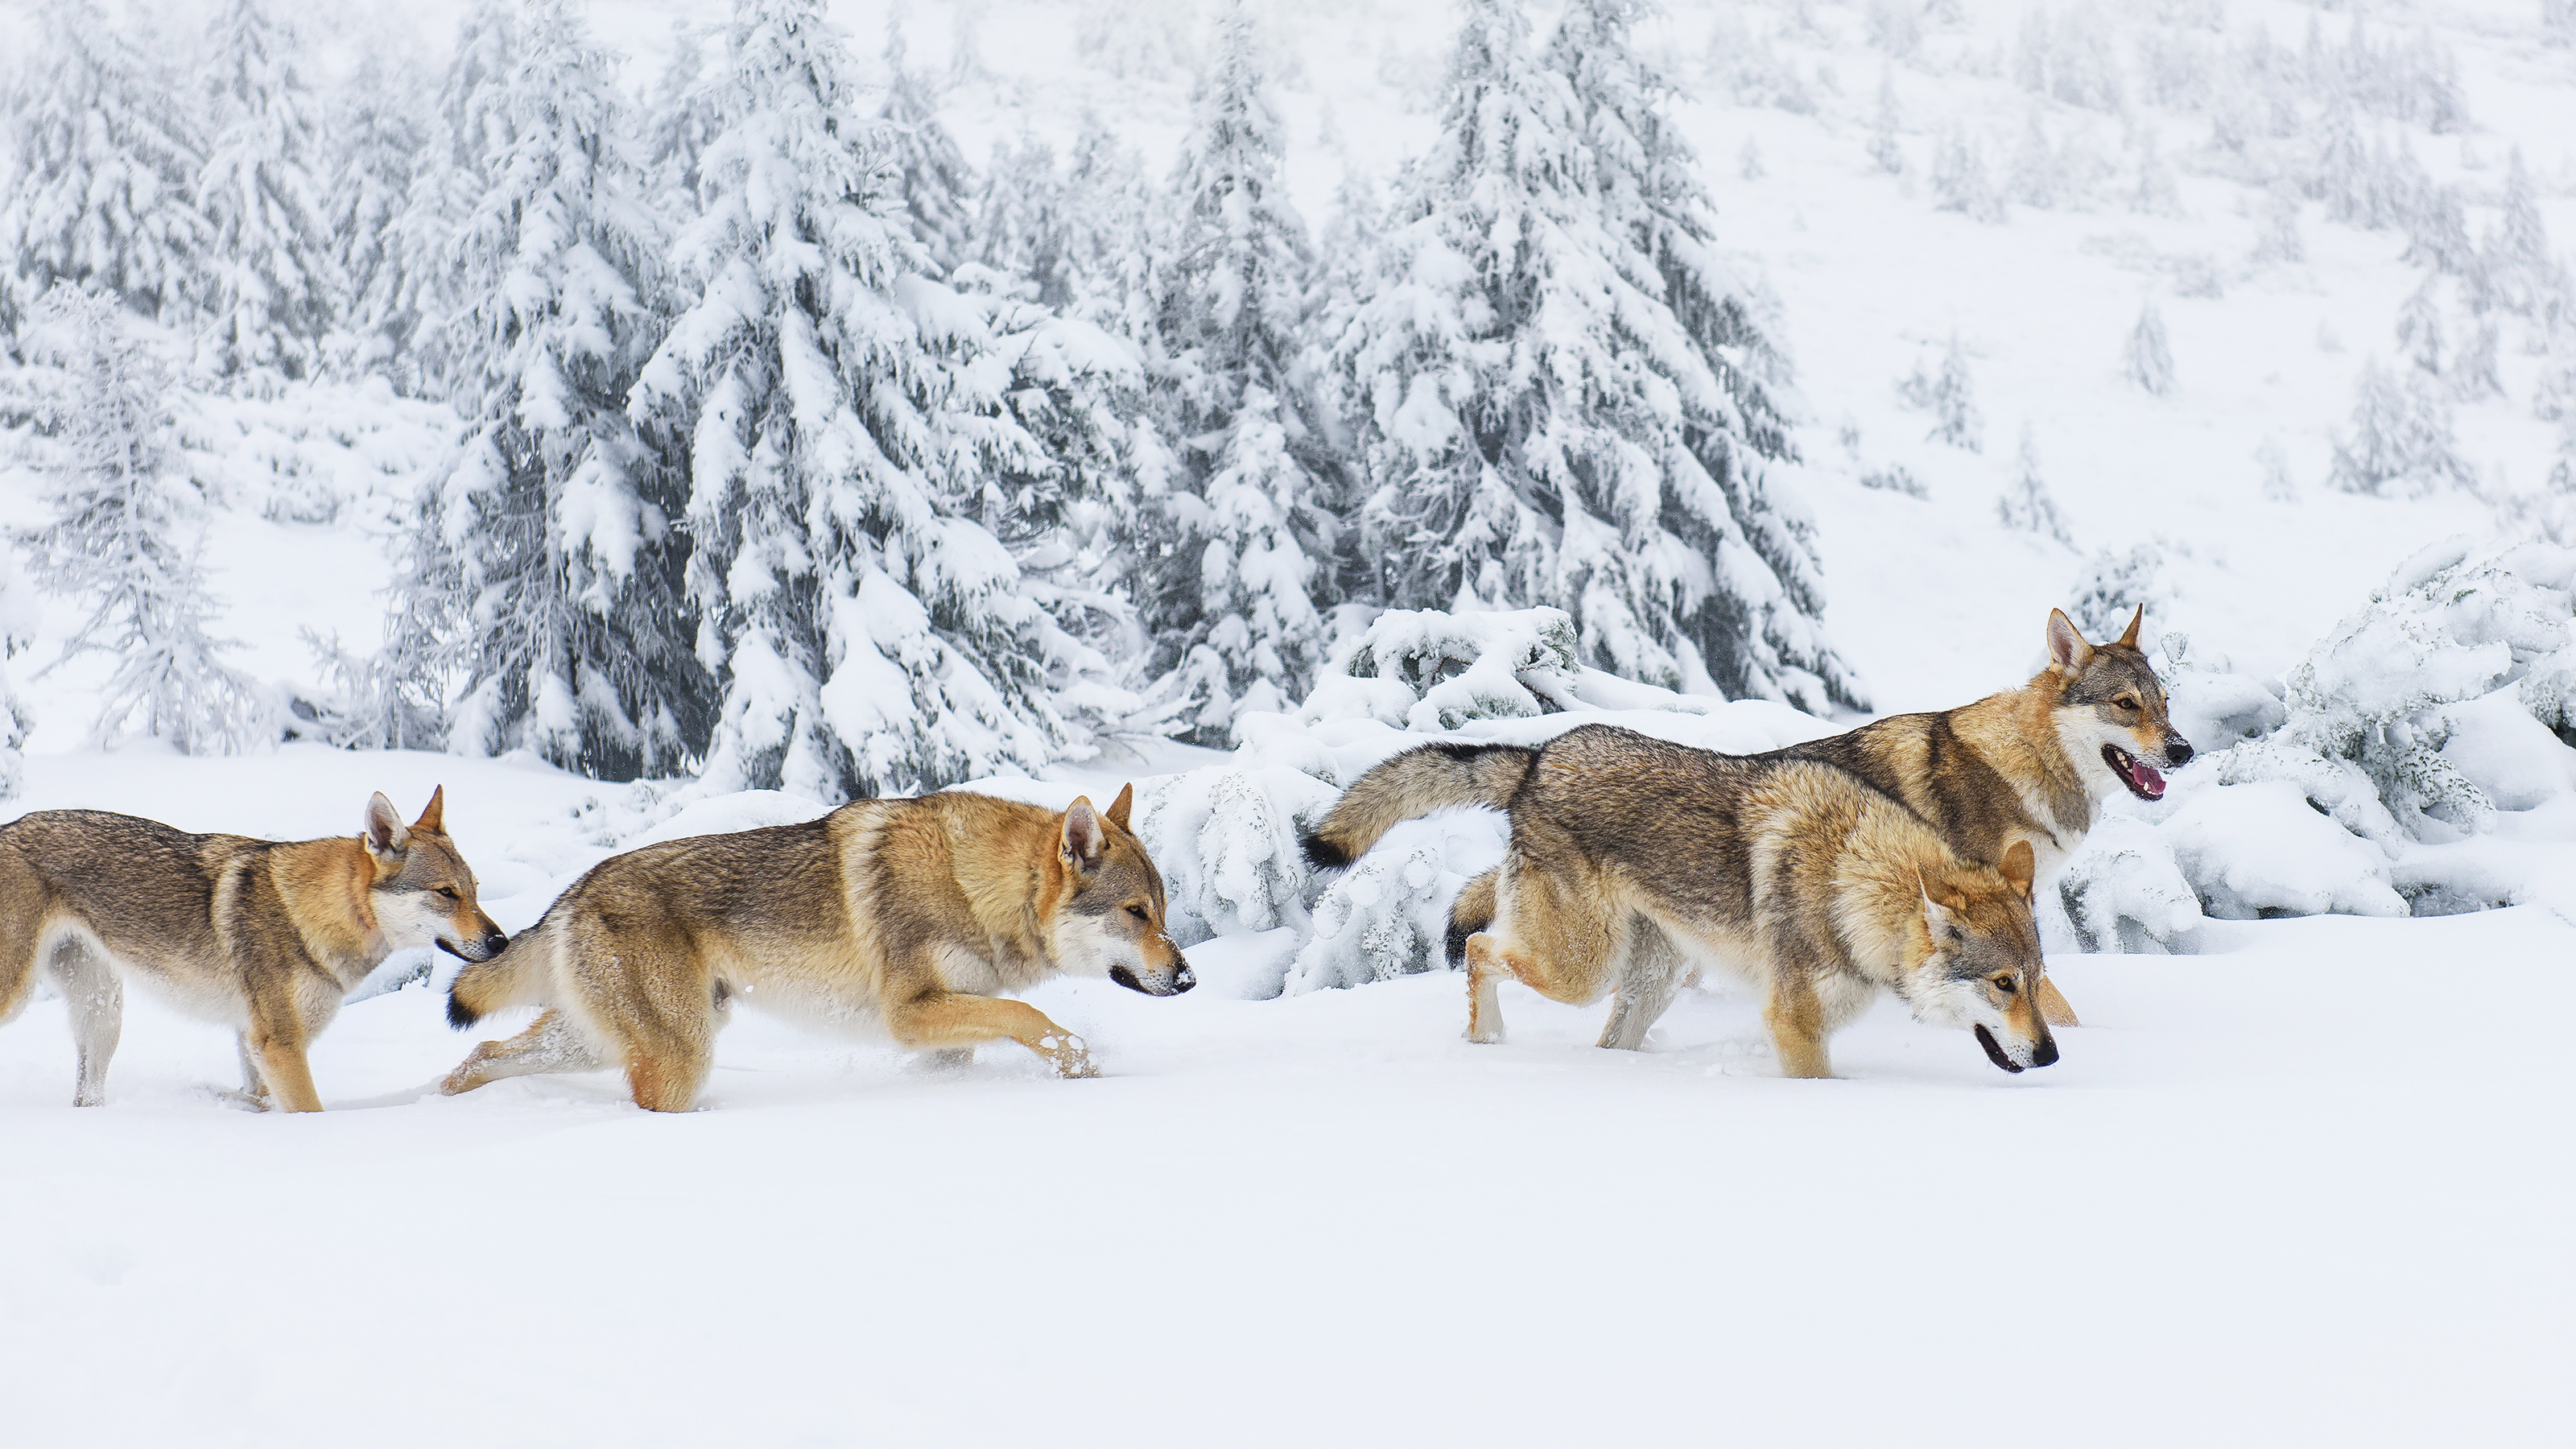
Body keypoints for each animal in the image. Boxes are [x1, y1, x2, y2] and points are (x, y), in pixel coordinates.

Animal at [0, 789, 507, 1103]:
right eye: (446, 893)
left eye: (475, 891)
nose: (501, 941)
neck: (309, 915)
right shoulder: (279, 1045)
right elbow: (310, 1111)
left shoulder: (254, 1044)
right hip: (23, 997)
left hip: (103, 1014)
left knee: (86, 1097)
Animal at [445, 778, 1195, 1103]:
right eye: (1133, 912)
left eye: (1162, 912)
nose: (1187, 979)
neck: (972, 885)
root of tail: (573, 892)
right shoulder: (910, 1014)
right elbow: (1029, 1013)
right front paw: (1082, 1067)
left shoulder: (945, 1032)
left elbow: (1003, 1023)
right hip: (681, 1055)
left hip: (597, 1041)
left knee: (480, 1054)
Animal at [1308, 721, 2050, 1072]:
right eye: (2003, 983)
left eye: (2037, 982)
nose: (2051, 1057)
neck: (1852, 880)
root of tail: (1539, 757)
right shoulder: (1794, 1025)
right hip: (1582, 969)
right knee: (1479, 946)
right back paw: (1485, 1042)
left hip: (1649, 983)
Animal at [1443, 603, 2184, 1021]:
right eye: (2125, 705)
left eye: (2165, 702)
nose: (2184, 748)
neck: (2021, 765)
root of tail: (1538, 758)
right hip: (1590, 957)